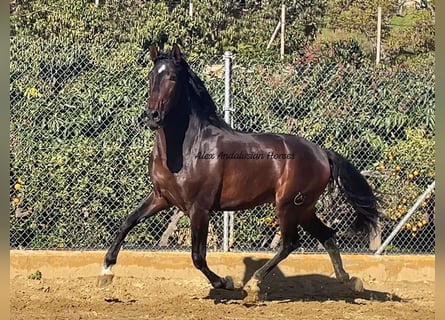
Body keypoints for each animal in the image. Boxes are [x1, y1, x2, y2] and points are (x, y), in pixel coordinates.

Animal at [99, 44, 380, 300]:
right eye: (151, 75)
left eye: (172, 78)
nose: (152, 116)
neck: (186, 149)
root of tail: (322, 153)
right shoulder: (162, 197)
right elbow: (127, 222)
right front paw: (106, 272)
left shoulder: (199, 208)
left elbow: (197, 256)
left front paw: (227, 282)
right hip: (305, 208)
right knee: (328, 236)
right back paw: (350, 280)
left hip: (289, 205)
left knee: (290, 243)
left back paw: (255, 284)